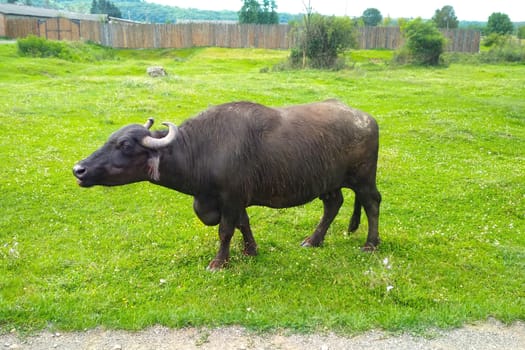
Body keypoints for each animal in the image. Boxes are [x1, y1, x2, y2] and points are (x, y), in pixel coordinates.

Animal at [72, 100, 380, 270]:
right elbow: (244, 224)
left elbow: (225, 230)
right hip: (328, 182)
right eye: (111, 139)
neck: (200, 150)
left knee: (372, 203)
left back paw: (370, 244)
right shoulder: (235, 199)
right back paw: (313, 240)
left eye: (125, 145)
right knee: (333, 204)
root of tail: (366, 118)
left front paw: (220, 262)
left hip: (363, 179)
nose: (79, 169)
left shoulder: (230, 198)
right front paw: (250, 250)